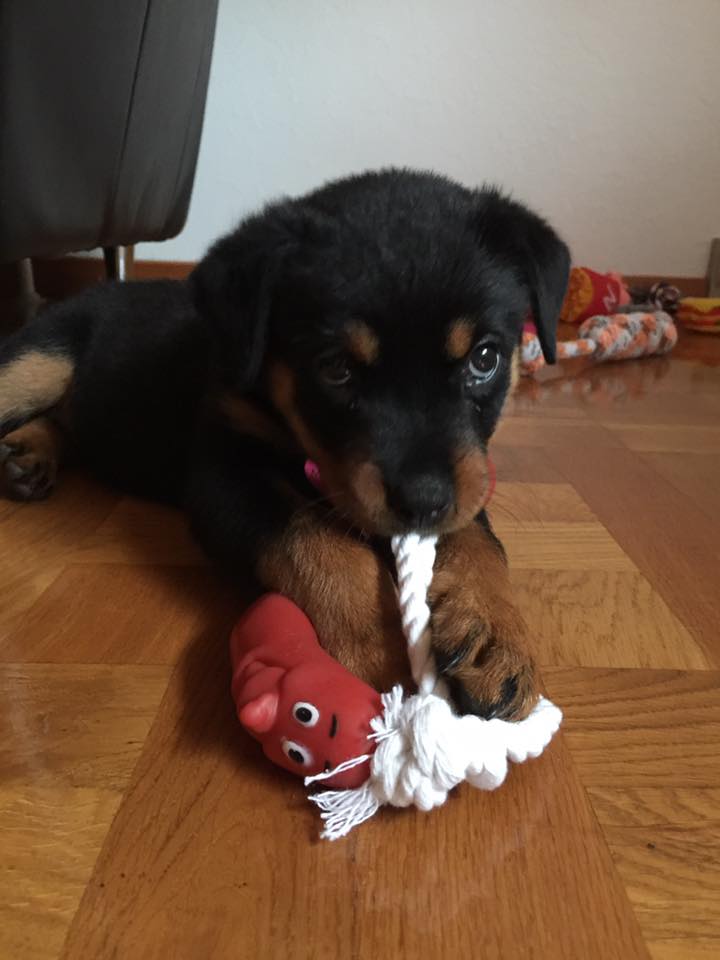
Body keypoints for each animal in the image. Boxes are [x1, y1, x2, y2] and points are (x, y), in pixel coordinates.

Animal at [1, 169, 572, 720]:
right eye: (335, 368)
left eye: (485, 358)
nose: (422, 503)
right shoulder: (221, 471)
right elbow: (313, 536)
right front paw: (385, 653)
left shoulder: (466, 472)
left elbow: (480, 534)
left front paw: (495, 633)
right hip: (38, 361)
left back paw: (27, 453)